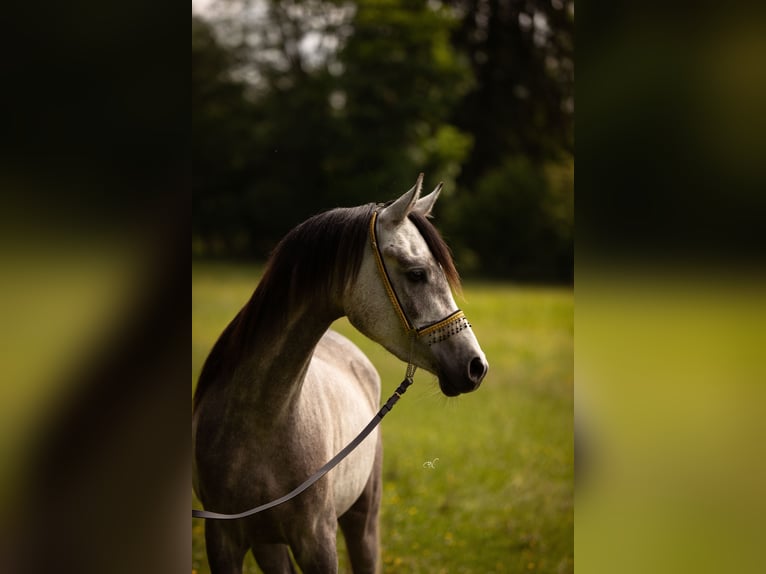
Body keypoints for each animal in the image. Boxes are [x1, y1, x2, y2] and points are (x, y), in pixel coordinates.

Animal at [192, 174, 489, 573]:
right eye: (417, 274)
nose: (476, 366)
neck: (258, 423)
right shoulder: (222, 541)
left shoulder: (318, 542)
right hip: (269, 543)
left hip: (363, 521)